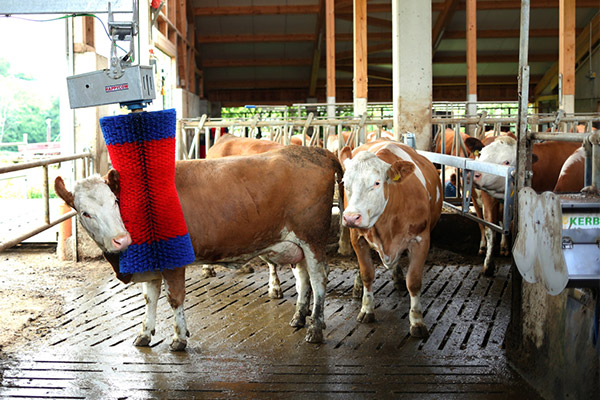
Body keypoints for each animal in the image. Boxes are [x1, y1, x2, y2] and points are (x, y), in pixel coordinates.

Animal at [55, 146, 342, 350]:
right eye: (84, 212)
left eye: (115, 202)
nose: (120, 239)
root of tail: (318, 152)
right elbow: (149, 298)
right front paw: (145, 334)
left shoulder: (173, 261)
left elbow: (174, 298)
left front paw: (179, 338)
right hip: (296, 245)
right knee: (303, 278)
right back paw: (299, 317)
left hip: (313, 239)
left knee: (318, 279)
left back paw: (315, 328)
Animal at [340, 141, 442, 338]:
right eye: (345, 183)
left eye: (376, 183)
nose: (351, 217)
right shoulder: (358, 238)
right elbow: (367, 273)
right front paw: (366, 309)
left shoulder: (421, 241)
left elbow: (414, 281)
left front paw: (417, 321)